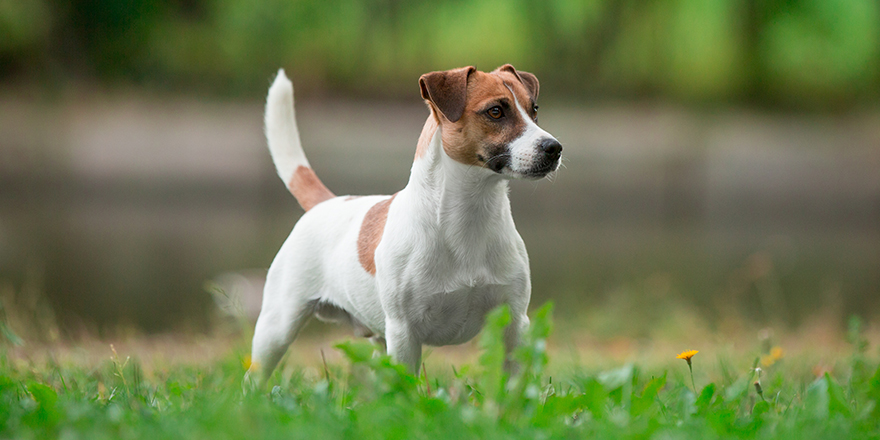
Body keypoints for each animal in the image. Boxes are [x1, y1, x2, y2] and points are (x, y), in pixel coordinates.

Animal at [248, 63, 564, 380]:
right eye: (496, 111)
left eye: (534, 109)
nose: (554, 147)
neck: (468, 219)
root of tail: (326, 202)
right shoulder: (404, 332)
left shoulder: (514, 324)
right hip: (276, 329)